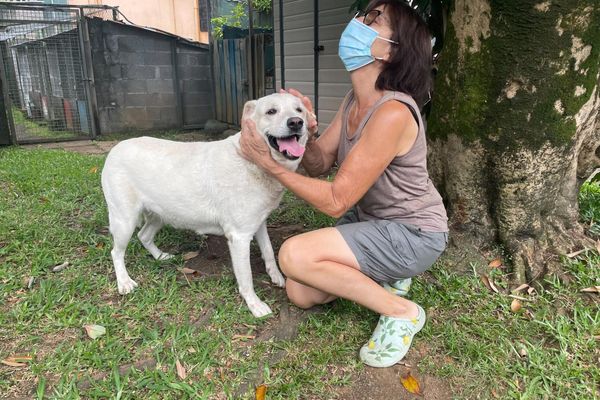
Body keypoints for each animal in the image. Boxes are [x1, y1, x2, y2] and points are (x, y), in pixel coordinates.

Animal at [102, 93, 310, 316]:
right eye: (271, 111)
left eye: (299, 110)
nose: (296, 122)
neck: (252, 161)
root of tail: (116, 148)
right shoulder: (239, 237)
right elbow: (246, 278)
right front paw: (254, 304)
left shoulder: (259, 223)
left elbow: (269, 252)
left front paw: (276, 276)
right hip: (125, 220)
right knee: (116, 252)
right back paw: (124, 282)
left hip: (161, 214)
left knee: (144, 235)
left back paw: (160, 257)